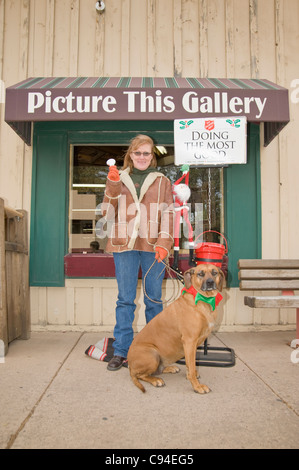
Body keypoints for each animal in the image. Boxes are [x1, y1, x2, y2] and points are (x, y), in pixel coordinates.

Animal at [127, 264, 225, 392]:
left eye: (214, 273)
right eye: (200, 274)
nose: (210, 282)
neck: (203, 300)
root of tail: (129, 366)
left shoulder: (191, 346)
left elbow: (190, 365)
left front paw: (190, 376)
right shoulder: (189, 341)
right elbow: (192, 366)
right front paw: (197, 386)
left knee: (156, 370)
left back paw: (170, 368)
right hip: (152, 354)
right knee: (141, 375)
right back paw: (156, 380)